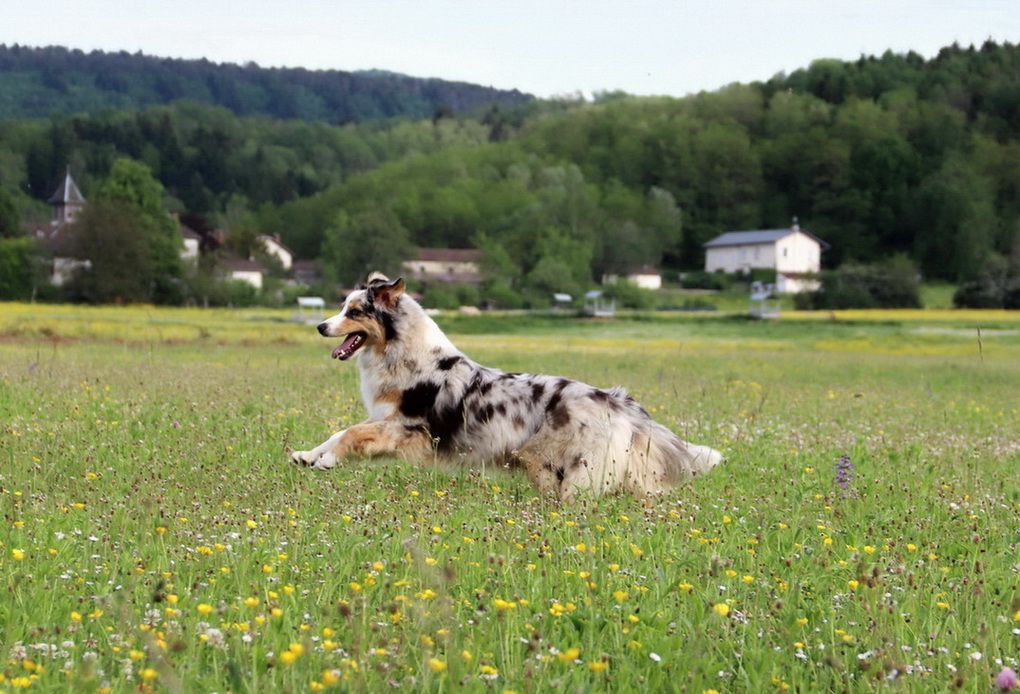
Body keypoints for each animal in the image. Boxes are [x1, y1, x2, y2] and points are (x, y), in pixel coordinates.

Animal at [287, 271, 722, 498]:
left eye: (354, 311)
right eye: (342, 307)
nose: (320, 326)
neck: (402, 351)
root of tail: (614, 401)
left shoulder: (406, 428)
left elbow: (350, 433)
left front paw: (327, 460)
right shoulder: (387, 422)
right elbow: (339, 431)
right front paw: (308, 456)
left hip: (569, 471)